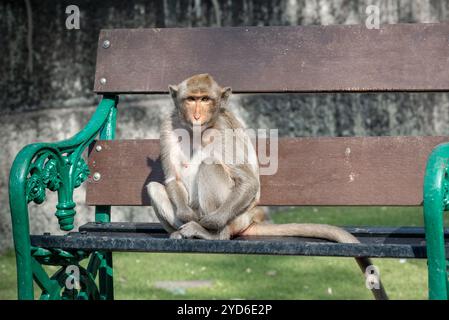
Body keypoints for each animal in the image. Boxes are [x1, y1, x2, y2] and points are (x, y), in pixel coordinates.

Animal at [147, 73, 388, 300]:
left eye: (205, 99)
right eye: (191, 99)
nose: (197, 115)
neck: (198, 131)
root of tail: (251, 219)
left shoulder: (224, 129)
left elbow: (248, 180)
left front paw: (208, 223)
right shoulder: (168, 125)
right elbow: (172, 179)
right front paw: (187, 215)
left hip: (236, 218)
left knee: (210, 166)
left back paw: (212, 234)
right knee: (154, 187)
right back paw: (180, 232)